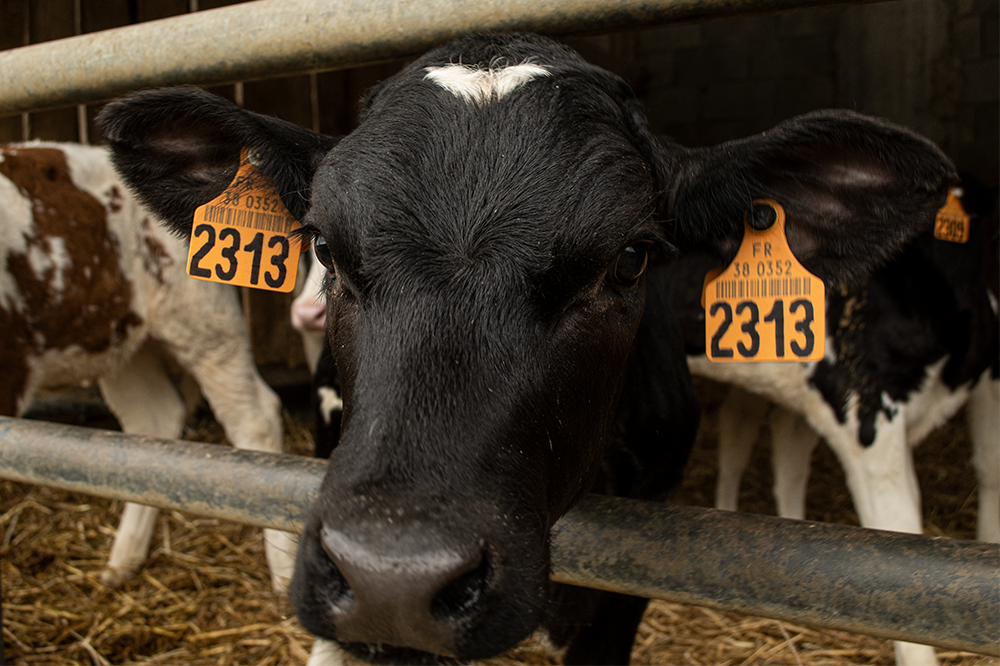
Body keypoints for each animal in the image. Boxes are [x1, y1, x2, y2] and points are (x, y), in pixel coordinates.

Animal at [0, 139, 294, 588]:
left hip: (204, 321)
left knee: (256, 418)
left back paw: (283, 574)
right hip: (121, 343)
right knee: (152, 427)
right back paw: (122, 562)